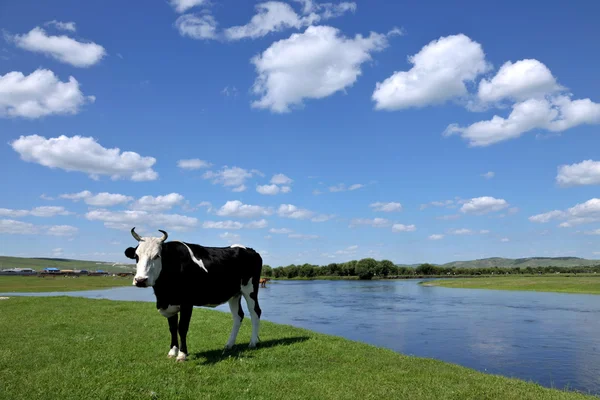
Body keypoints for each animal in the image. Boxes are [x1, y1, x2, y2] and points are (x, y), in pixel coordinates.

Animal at [125, 228, 264, 362]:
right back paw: (229, 344)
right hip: (235, 294)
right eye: (136, 256)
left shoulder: (187, 302)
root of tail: (250, 250)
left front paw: (182, 354)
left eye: (157, 256)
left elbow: (182, 327)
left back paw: (252, 342)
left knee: (255, 312)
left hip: (250, 289)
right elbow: (172, 328)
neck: (164, 293)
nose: (140, 280)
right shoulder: (170, 304)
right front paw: (172, 352)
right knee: (238, 316)